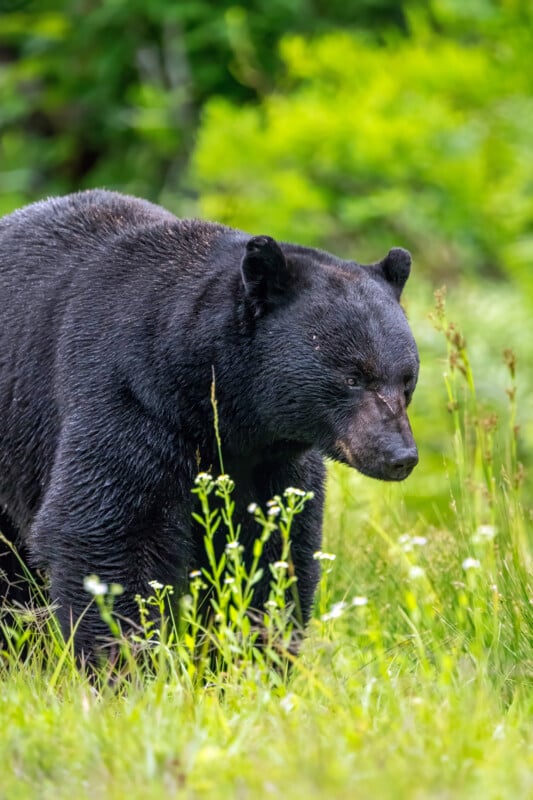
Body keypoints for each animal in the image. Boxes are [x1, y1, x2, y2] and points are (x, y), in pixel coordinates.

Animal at [0, 189, 419, 661]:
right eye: (352, 377)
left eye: (407, 380)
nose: (399, 455)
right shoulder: (128, 399)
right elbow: (107, 530)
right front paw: (128, 661)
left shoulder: (273, 459)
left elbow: (276, 546)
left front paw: (251, 655)